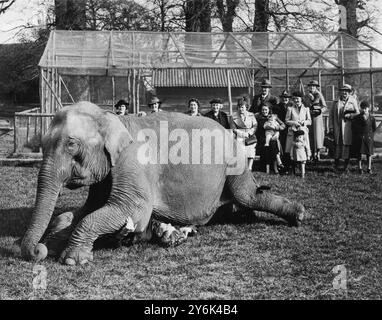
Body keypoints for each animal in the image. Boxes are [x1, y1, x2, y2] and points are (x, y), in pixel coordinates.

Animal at [20, 102, 304, 264]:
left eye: (71, 144)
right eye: (42, 143)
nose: (37, 251)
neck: (112, 118)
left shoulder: (133, 162)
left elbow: (133, 211)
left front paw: (72, 260)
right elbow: (82, 211)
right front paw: (55, 241)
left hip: (235, 160)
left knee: (248, 194)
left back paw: (298, 216)